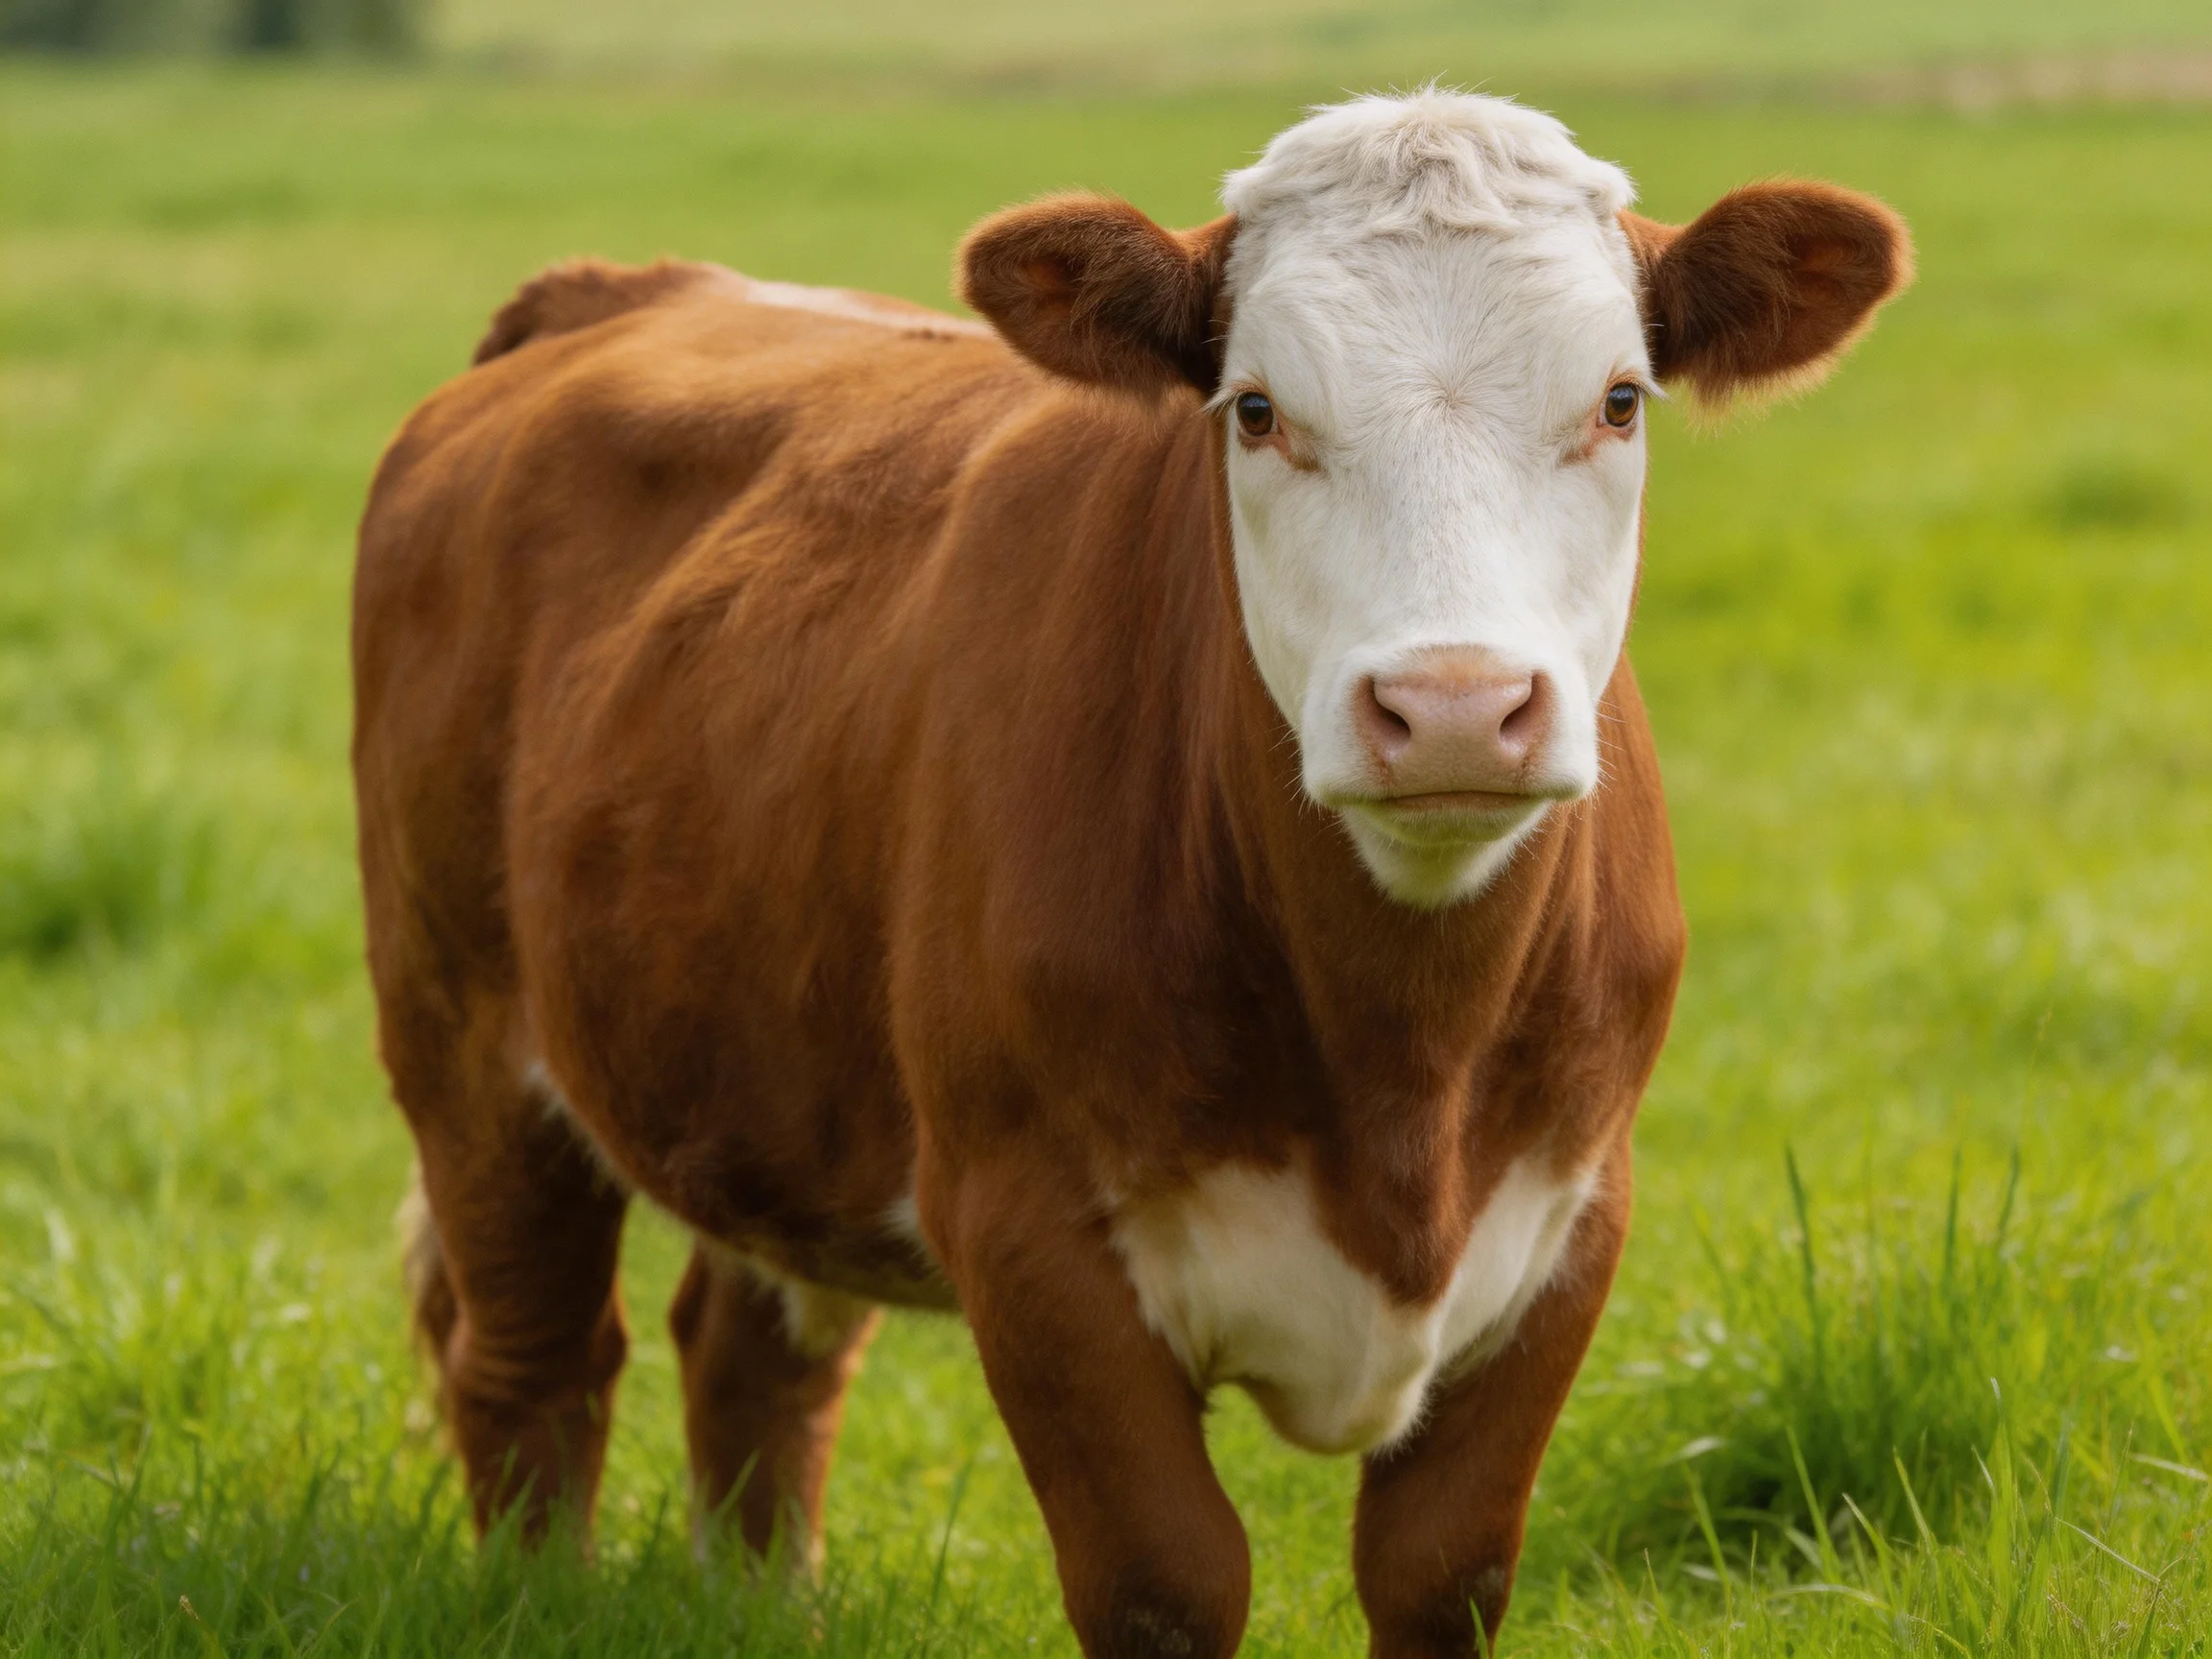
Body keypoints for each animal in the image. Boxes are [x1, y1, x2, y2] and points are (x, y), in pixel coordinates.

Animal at [353, 89, 1909, 1657]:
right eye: (1258, 409)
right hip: (461, 1032)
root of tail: (629, 289)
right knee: (533, 1362)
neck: (1405, 1071)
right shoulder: (1028, 1228)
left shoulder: (1572, 1217)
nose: (1456, 707)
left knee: (749, 1364)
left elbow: (1444, 1570)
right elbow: (1167, 1579)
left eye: (1619, 400)